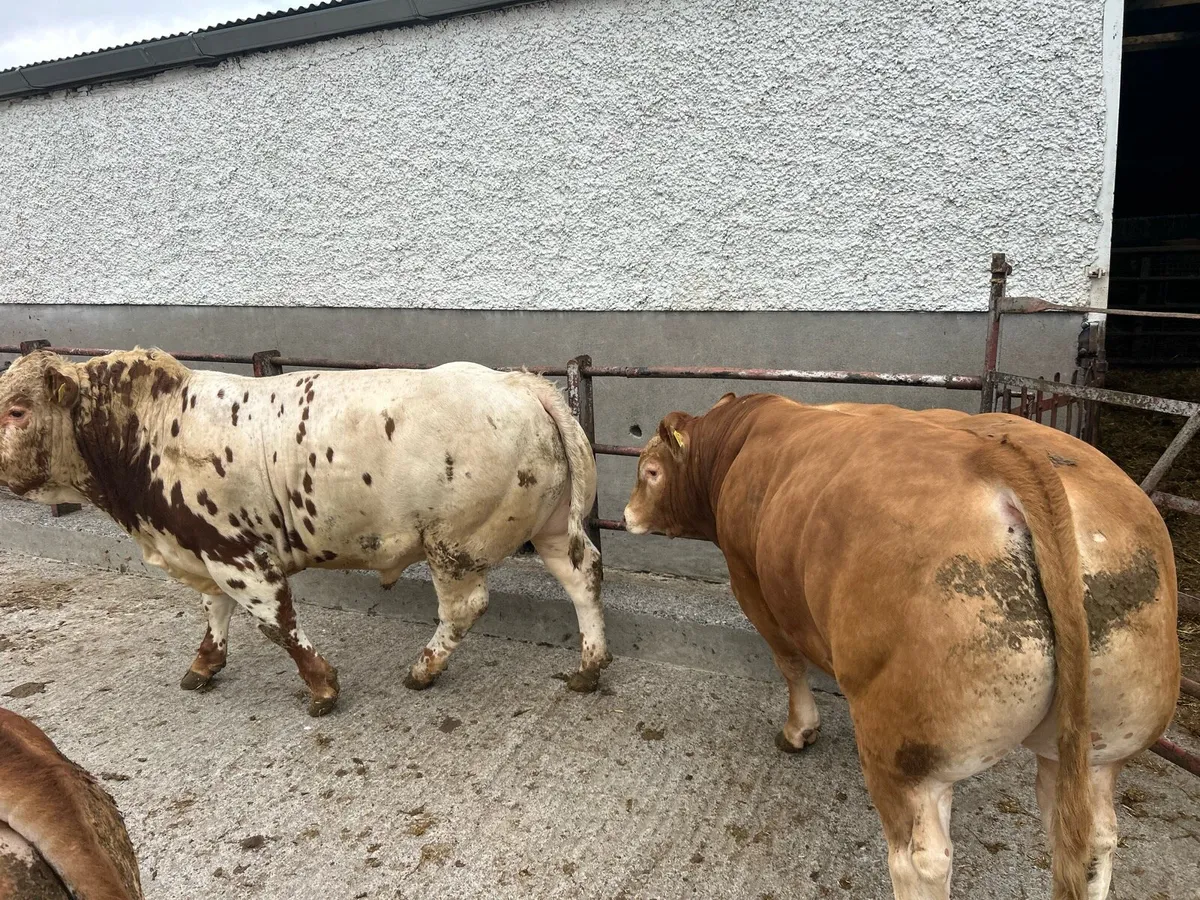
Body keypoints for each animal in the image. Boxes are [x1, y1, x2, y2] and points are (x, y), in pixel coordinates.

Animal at [0, 349, 608, 716]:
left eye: (17, 410)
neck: (151, 429)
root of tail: (517, 383)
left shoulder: (238, 554)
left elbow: (277, 623)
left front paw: (322, 686)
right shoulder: (203, 547)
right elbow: (215, 610)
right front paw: (204, 664)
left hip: (453, 544)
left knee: (464, 608)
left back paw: (423, 669)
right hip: (553, 527)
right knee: (582, 576)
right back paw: (588, 667)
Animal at [622, 393, 1179, 900]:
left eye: (649, 470)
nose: (625, 515)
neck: (740, 438)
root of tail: (998, 457)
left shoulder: (752, 585)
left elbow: (789, 664)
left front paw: (799, 730)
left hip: (905, 751)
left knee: (920, 861)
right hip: (1102, 739)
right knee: (1091, 839)